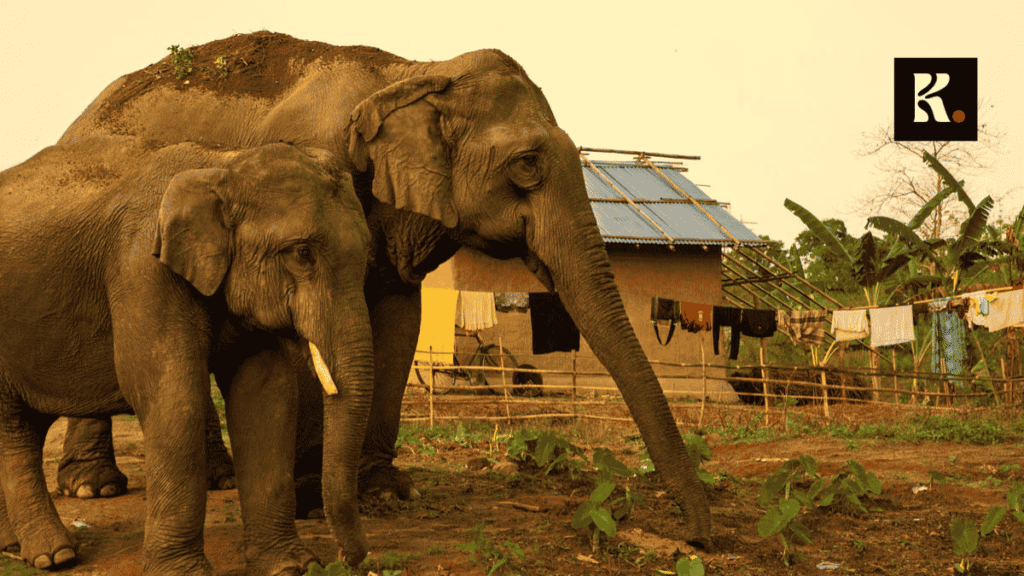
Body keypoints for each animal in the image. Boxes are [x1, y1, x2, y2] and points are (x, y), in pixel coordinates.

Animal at [0, 136, 374, 574]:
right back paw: (54, 555)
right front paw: (184, 572)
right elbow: (173, 398)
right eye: (302, 253)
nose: (352, 559)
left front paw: (293, 566)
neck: (221, 166)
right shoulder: (142, 271)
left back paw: (16, 546)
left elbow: (267, 396)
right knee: (14, 432)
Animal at [57, 31, 713, 546]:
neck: (415, 73)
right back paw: (92, 488)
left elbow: (397, 324)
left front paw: (382, 491)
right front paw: (311, 497)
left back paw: (213, 478)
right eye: (526, 164)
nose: (698, 537)